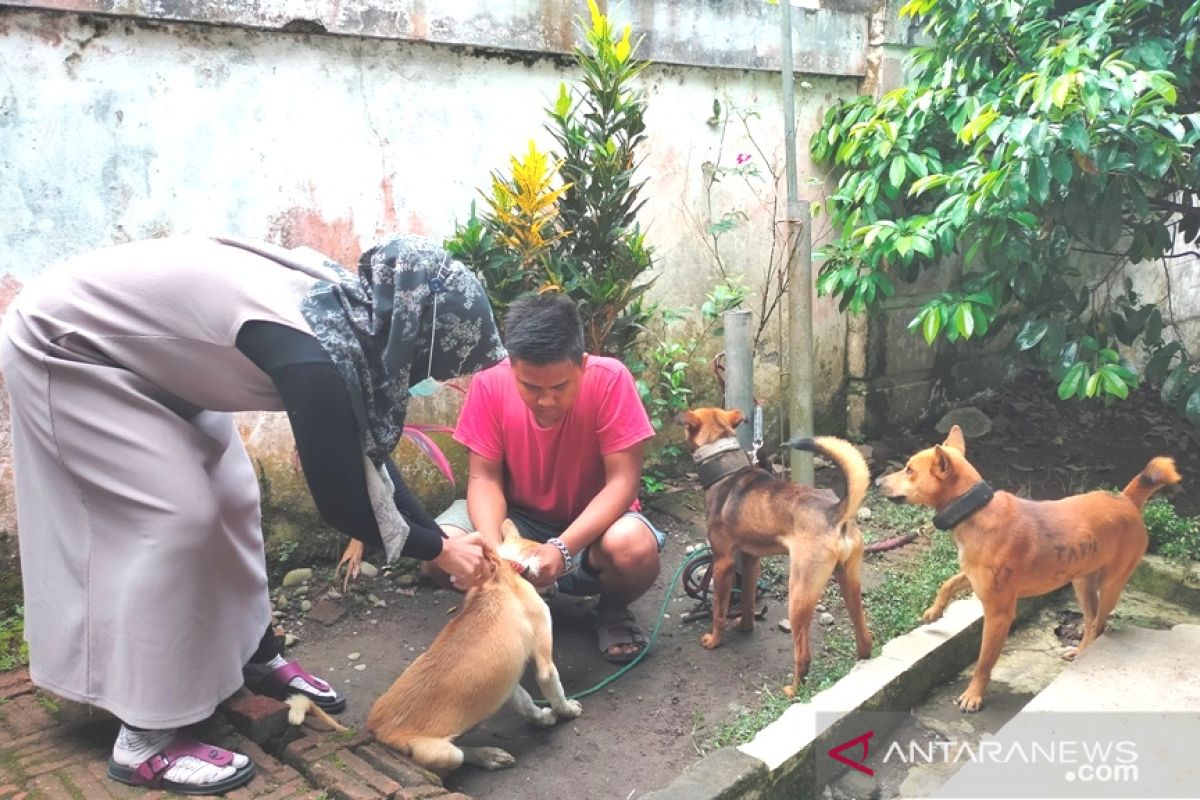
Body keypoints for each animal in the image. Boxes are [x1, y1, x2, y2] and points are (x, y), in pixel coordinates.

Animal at [364, 520, 580, 777]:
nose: (568, 564)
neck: (506, 567)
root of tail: (376, 730)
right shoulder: (544, 661)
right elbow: (555, 690)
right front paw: (567, 710)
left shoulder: (507, 683)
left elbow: (526, 703)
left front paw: (542, 719)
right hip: (445, 754)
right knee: (460, 754)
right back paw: (488, 755)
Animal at [681, 410, 868, 695]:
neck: (725, 469)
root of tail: (836, 512)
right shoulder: (750, 560)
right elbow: (748, 600)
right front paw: (745, 627)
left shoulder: (723, 562)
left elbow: (718, 610)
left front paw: (714, 640)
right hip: (849, 581)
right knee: (865, 638)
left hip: (799, 594)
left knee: (803, 655)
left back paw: (793, 690)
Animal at [878, 424, 1176, 714]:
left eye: (909, 470)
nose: (878, 482)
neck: (974, 510)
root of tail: (1127, 500)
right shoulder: (973, 576)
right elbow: (948, 583)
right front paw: (934, 611)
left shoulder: (998, 614)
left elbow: (984, 662)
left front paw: (974, 696)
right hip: (1082, 582)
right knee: (1091, 621)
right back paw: (1079, 652)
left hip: (1111, 584)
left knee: (1099, 625)